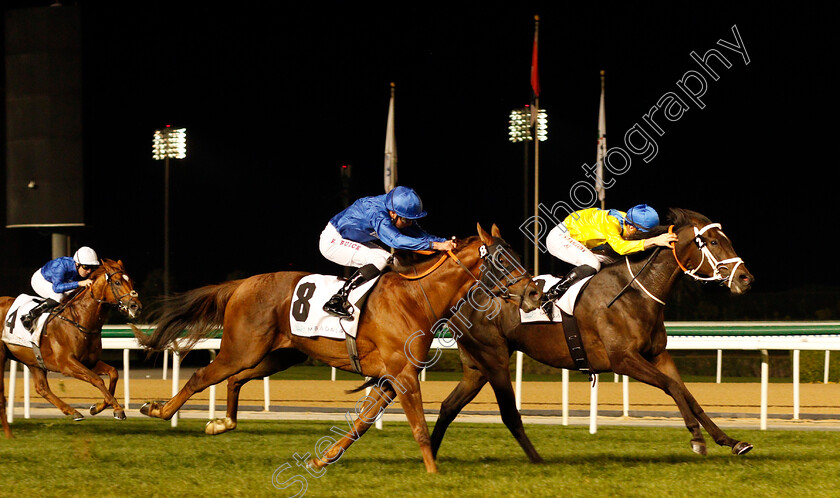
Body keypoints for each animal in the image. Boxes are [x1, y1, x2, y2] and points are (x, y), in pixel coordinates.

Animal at [0, 258, 142, 438]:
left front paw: (97, 408)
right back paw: (9, 433)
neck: (79, 319)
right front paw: (118, 409)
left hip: (32, 360)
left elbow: (113, 373)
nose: (136, 306)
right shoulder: (67, 364)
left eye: (131, 281)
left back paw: (73, 411)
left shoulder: (89, 362)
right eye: (117, 282)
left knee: (42, 388)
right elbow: (97, 379)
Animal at [133, 224, 540, 472]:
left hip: (278, 355)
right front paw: (433, 471)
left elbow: (362, 423)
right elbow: (419, 426)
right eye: (501, 259)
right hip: (241, 349)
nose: (535, 293)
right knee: (202, 376)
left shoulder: (391, 377)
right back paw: (158, 410)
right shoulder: (403, 374)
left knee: (235, 381)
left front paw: (322, 460)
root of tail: (242, 284)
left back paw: (222, 424)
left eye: (517, 255)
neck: (416, 297)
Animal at [434, 208, 756, 462]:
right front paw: (697, 439)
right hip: (494, 360)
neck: (636, 292)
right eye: (713, 242)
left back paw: (432, 454)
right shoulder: (622, 359)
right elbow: (672, 387)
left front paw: (731, 441)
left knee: (449, 406)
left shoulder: (657, 354)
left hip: (477, 368)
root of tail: (463, 300)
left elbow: (687, 393)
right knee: (505, 413)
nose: (746, 278)